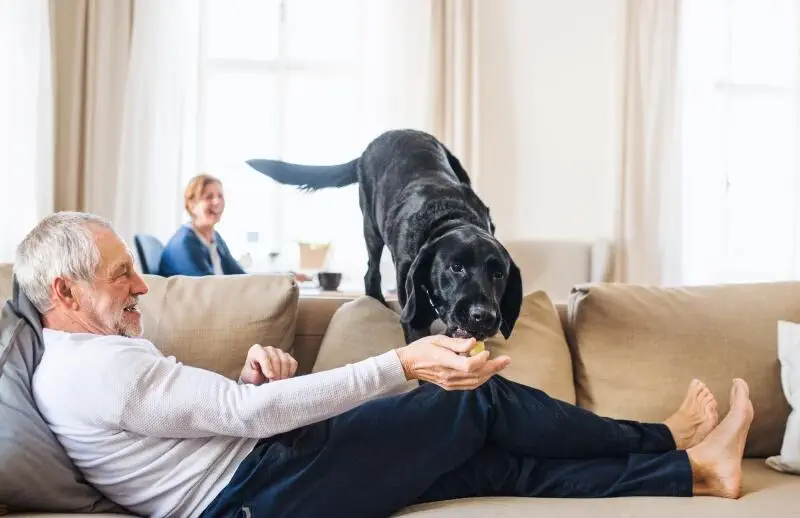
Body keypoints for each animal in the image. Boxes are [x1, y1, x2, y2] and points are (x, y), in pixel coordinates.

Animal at [250, 129, 524, 346]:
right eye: (455, 267)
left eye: (499, 274)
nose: (484, 315)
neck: (449, 217)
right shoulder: (414, 319)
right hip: (370, 227)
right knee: (371, 272)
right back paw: (377, 300)